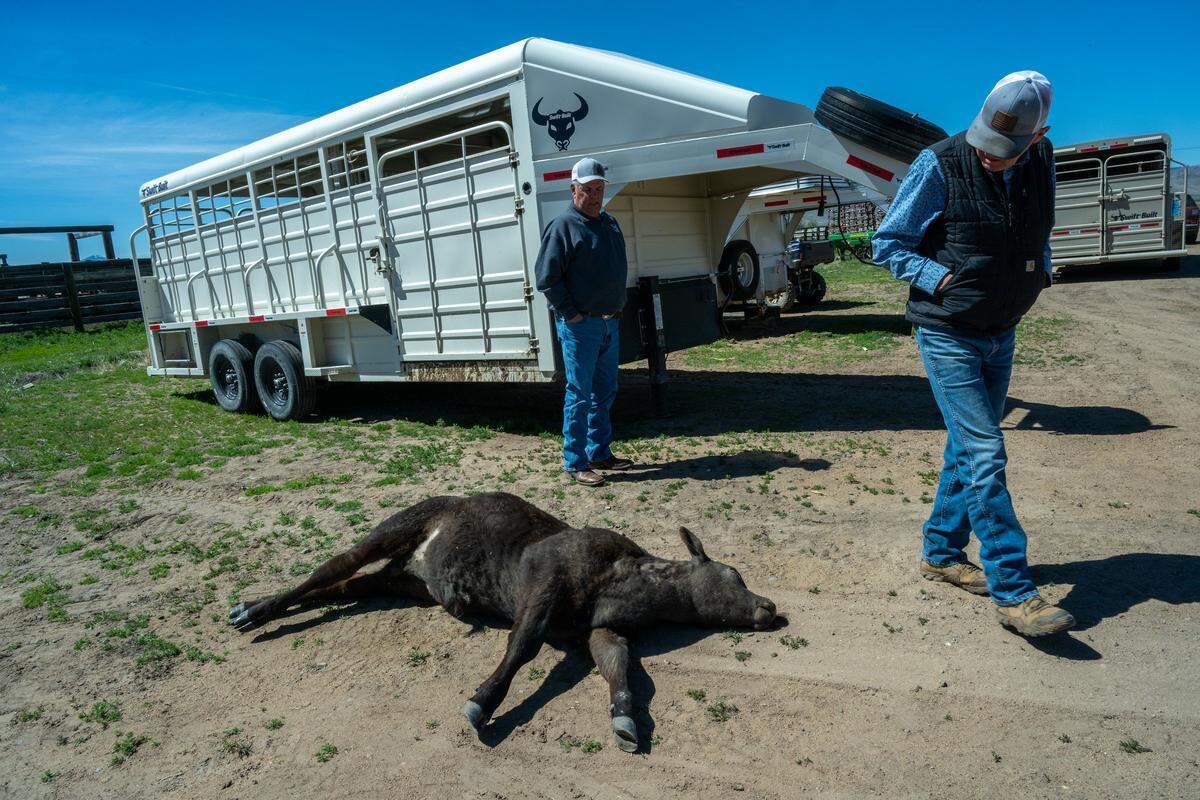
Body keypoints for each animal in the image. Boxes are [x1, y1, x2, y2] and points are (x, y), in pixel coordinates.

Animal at [228, 492, 777, 752]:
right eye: (733, 573)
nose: (769, 607)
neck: (627, 582)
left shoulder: (598, 632)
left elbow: (620, 668)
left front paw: (624, 719)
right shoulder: (542, 586)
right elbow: (521, 649)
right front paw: (482, 702)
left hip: (402, 583)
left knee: (342, 587)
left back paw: (263, 608)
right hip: (396, 528)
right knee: (332, 566)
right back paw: (252, 610)